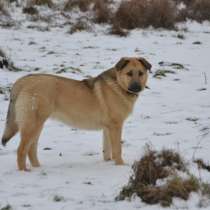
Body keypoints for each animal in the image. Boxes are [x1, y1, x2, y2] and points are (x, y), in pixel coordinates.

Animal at [0, 57, 151, 171]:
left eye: (141, 73)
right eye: (129, 73)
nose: (137, 87)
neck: (118, 85)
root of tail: (22, 81)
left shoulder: (108, 128)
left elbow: (107, 150)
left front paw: (109, 164)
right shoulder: (115, 126)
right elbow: (117, 149)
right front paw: (120, 166)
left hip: (37, 124)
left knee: (31, 150)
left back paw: (38, 168)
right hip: (33, 124)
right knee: (21, 150)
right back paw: (24, 172)